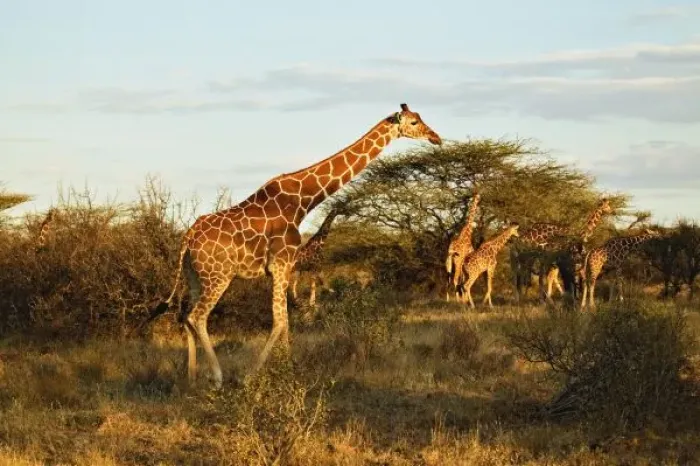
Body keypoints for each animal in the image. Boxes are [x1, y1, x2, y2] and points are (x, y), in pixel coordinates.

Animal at [141, 103, 442, 388]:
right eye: (414, 122)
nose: (435, 137)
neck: (302, 201)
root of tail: (188, 238)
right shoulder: (282, 264)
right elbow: (280, 321)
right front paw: (254, 375)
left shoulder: (282, 269)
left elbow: (285, 320)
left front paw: (287, 370)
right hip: (219, 276)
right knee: (197, 317)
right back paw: (217, 377)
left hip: (194, 276)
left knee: (183, 316)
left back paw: (190, 378)